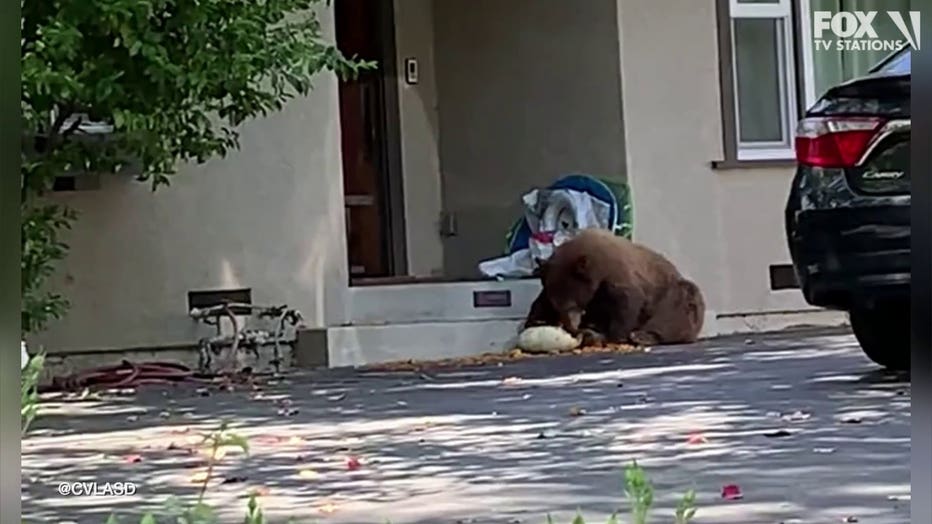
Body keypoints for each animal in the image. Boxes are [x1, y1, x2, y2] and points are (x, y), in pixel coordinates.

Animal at [524, 230, 708, 346]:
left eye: (572, 304)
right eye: (557, 306)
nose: (572, 327)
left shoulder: (617, 276)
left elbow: (627, 304)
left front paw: (610, 336)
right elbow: (540, 304)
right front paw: (534, 323)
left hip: (675, 296)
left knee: (677, 307)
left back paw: (642, 336)